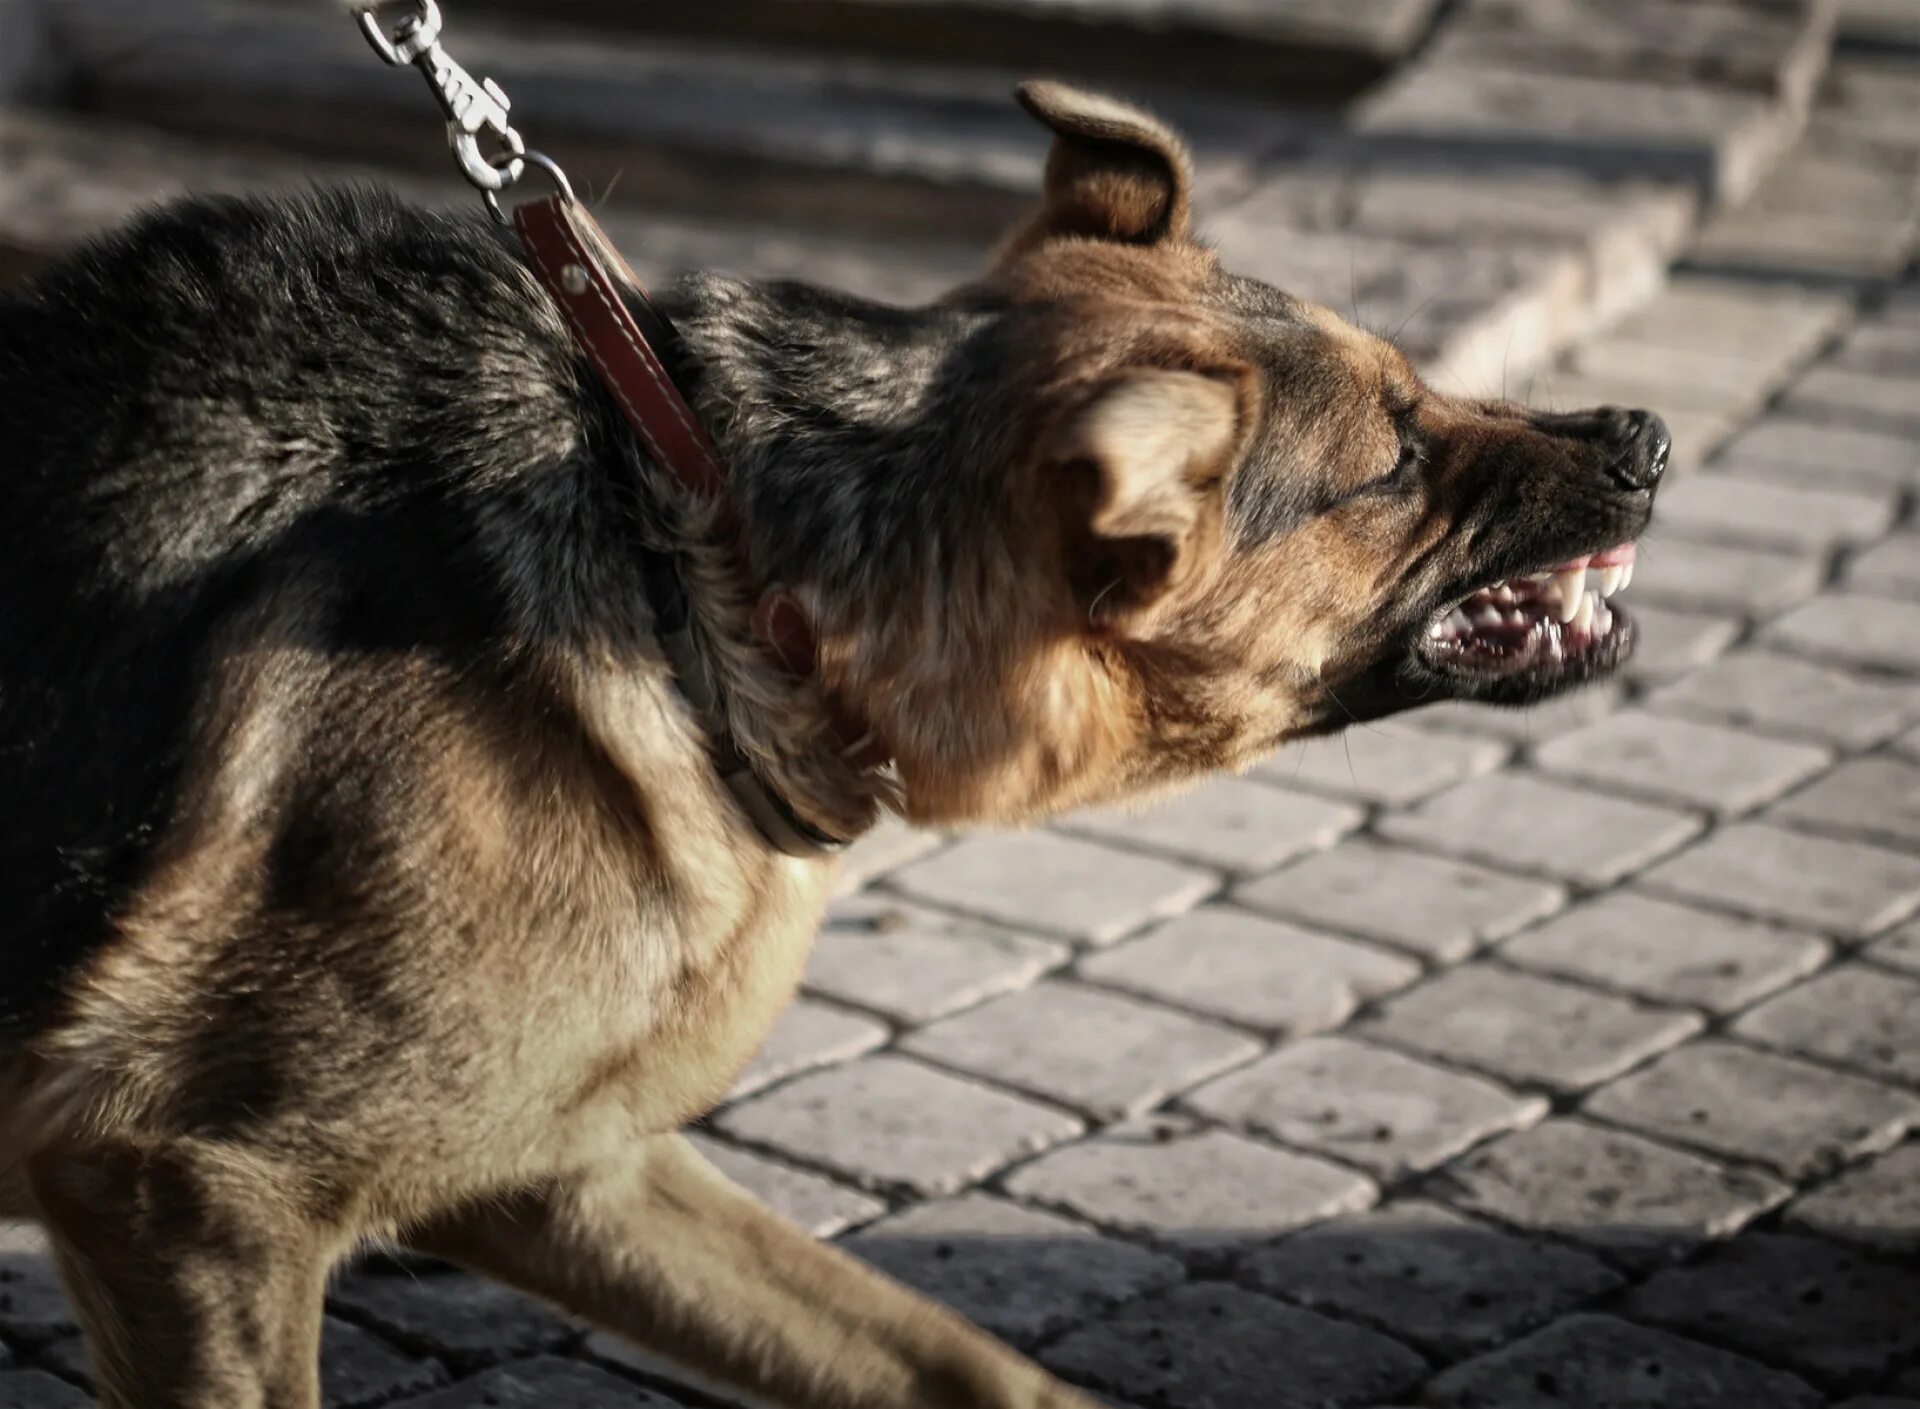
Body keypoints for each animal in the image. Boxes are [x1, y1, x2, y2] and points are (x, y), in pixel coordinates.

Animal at [0, 85, 1666, 1409]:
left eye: (1418, 384)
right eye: (1393, 457)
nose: (1644, 438)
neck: (709, 569)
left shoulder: (565, 1160)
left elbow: (945, 1357)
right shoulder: (187, 1190)